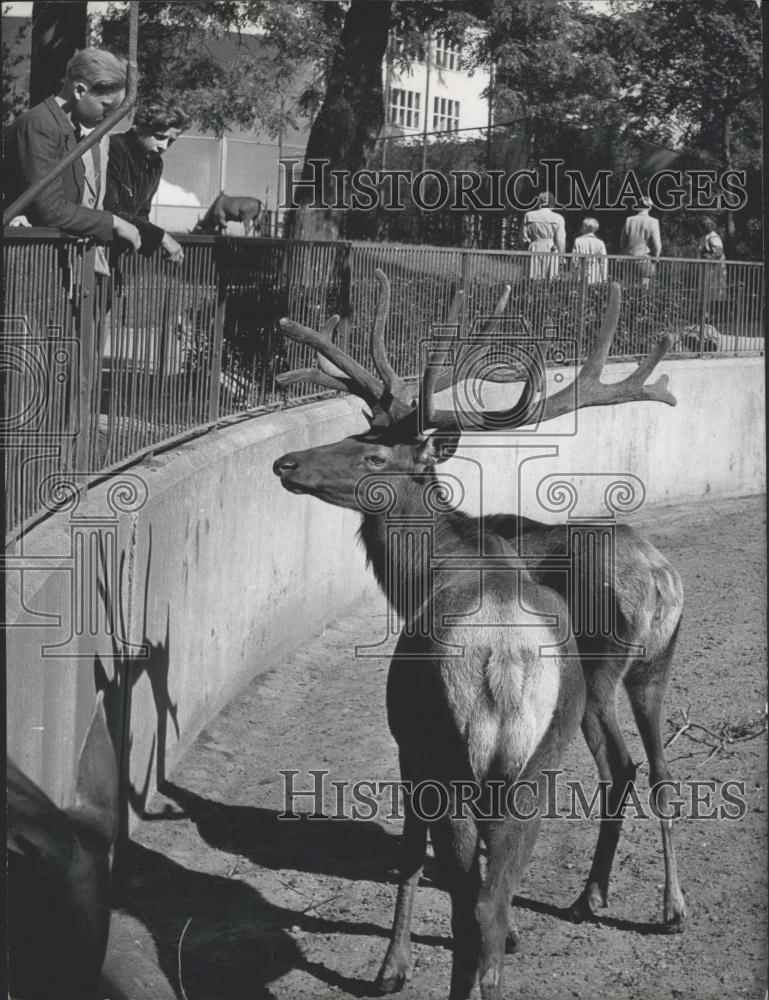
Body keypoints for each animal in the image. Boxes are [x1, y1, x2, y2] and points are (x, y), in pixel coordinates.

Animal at [272, 270, 688, 996]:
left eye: (373, 454)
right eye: (356, 430)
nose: (288, 463)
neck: (430, 567)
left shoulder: (408, 745)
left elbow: (413, 854)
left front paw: (391, 966)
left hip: (479, 731)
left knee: (489, 892)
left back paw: (589, 900)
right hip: (598, 710)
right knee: (651, 774)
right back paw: (663, 906)